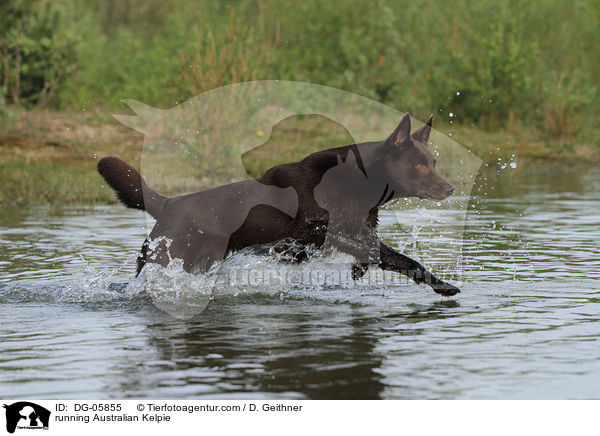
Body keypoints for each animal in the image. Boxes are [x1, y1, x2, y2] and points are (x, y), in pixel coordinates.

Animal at [99, 113, 460, 296]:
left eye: (433, 163)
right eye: (419, 166)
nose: (450, 188)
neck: (357, 181)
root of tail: (167, 203)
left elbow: (396, 257)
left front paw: (442, 286)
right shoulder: (314, 233)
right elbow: (378, 253)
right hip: (169, 257)